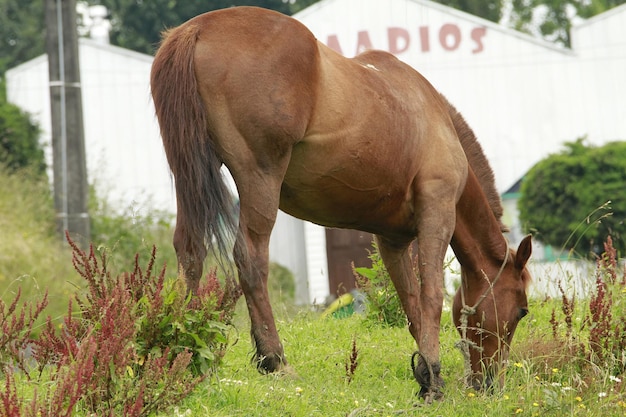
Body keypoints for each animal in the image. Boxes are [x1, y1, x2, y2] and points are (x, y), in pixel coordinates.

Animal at [149, 4, 528, 398]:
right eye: (521, 310)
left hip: (189, 177)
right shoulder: (436, 214)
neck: (433, 118)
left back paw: (181, 349)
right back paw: (275, 360)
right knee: (250, 258)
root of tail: (196, 29)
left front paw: (425, 370)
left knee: (190, 251)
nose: (489, 382)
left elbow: (410, 303)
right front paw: (433, 378)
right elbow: (431, 294)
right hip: (259, 178)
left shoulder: (392, 240)